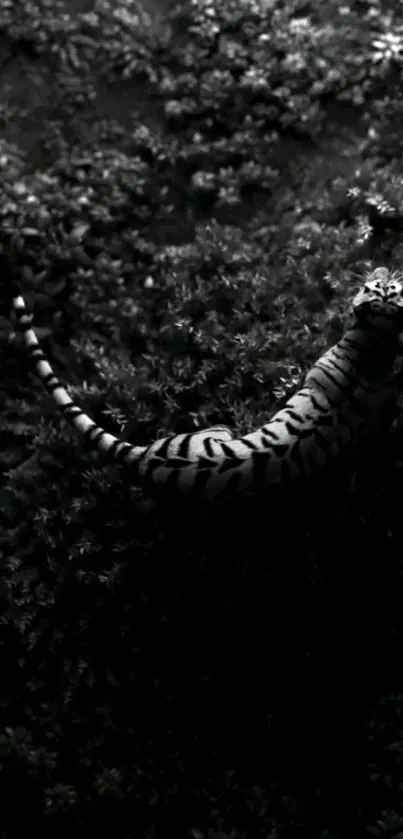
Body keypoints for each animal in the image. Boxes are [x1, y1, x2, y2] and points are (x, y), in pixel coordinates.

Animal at [7, 270, 403, 502]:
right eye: (373, 285)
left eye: (389, 286)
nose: (382, 269)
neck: (375, 339)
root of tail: (143, 454)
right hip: (220, 430)